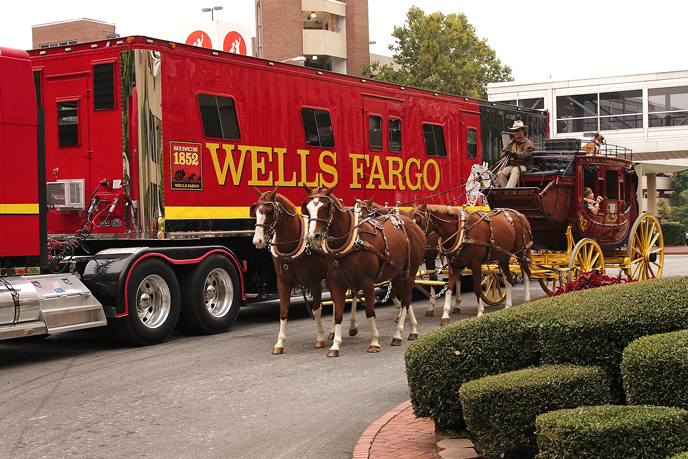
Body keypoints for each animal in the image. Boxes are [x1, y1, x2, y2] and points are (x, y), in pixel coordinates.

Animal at [253, 189, 360, 354]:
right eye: (256, 211)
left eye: (269, 211)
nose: (257, 241)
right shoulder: (283, 283)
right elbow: (283, 311)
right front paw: (279, 343)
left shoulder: (314, 282)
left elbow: (316, 310)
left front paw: (320, 339)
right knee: (337, 300)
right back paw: (333, 331)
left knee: (353, 294)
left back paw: (352, 326)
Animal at [304, 185, 428, 358]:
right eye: (308, 208)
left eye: (324, 207)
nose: (312, 236)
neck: (350, 241)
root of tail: (413, 225)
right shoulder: (336, 282)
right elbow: (338, 314)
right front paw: (335, 345)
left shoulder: (367, 281)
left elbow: (370, 311)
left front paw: (374, 342)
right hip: (398, 273)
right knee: (407, 298)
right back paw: (413, 330)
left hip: (411, 270)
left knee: (405, 301)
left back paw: (397, 335)